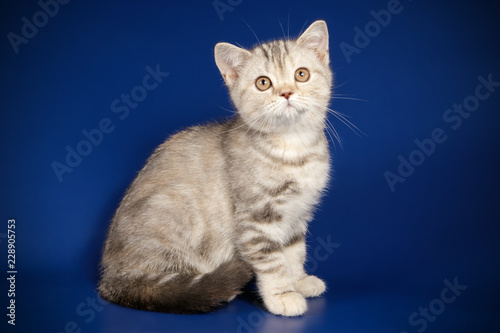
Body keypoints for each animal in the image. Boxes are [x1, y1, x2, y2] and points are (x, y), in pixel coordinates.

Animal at [97, 19, 332, 316]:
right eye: (263, 83)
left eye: (301, 74)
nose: (287, 92)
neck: (293, 149)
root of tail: (110, 277)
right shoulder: (256, 218)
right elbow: (272, 259)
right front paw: (282, 294)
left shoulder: (297, 213)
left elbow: (293, 252)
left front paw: (298, 281)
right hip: (174, 208)